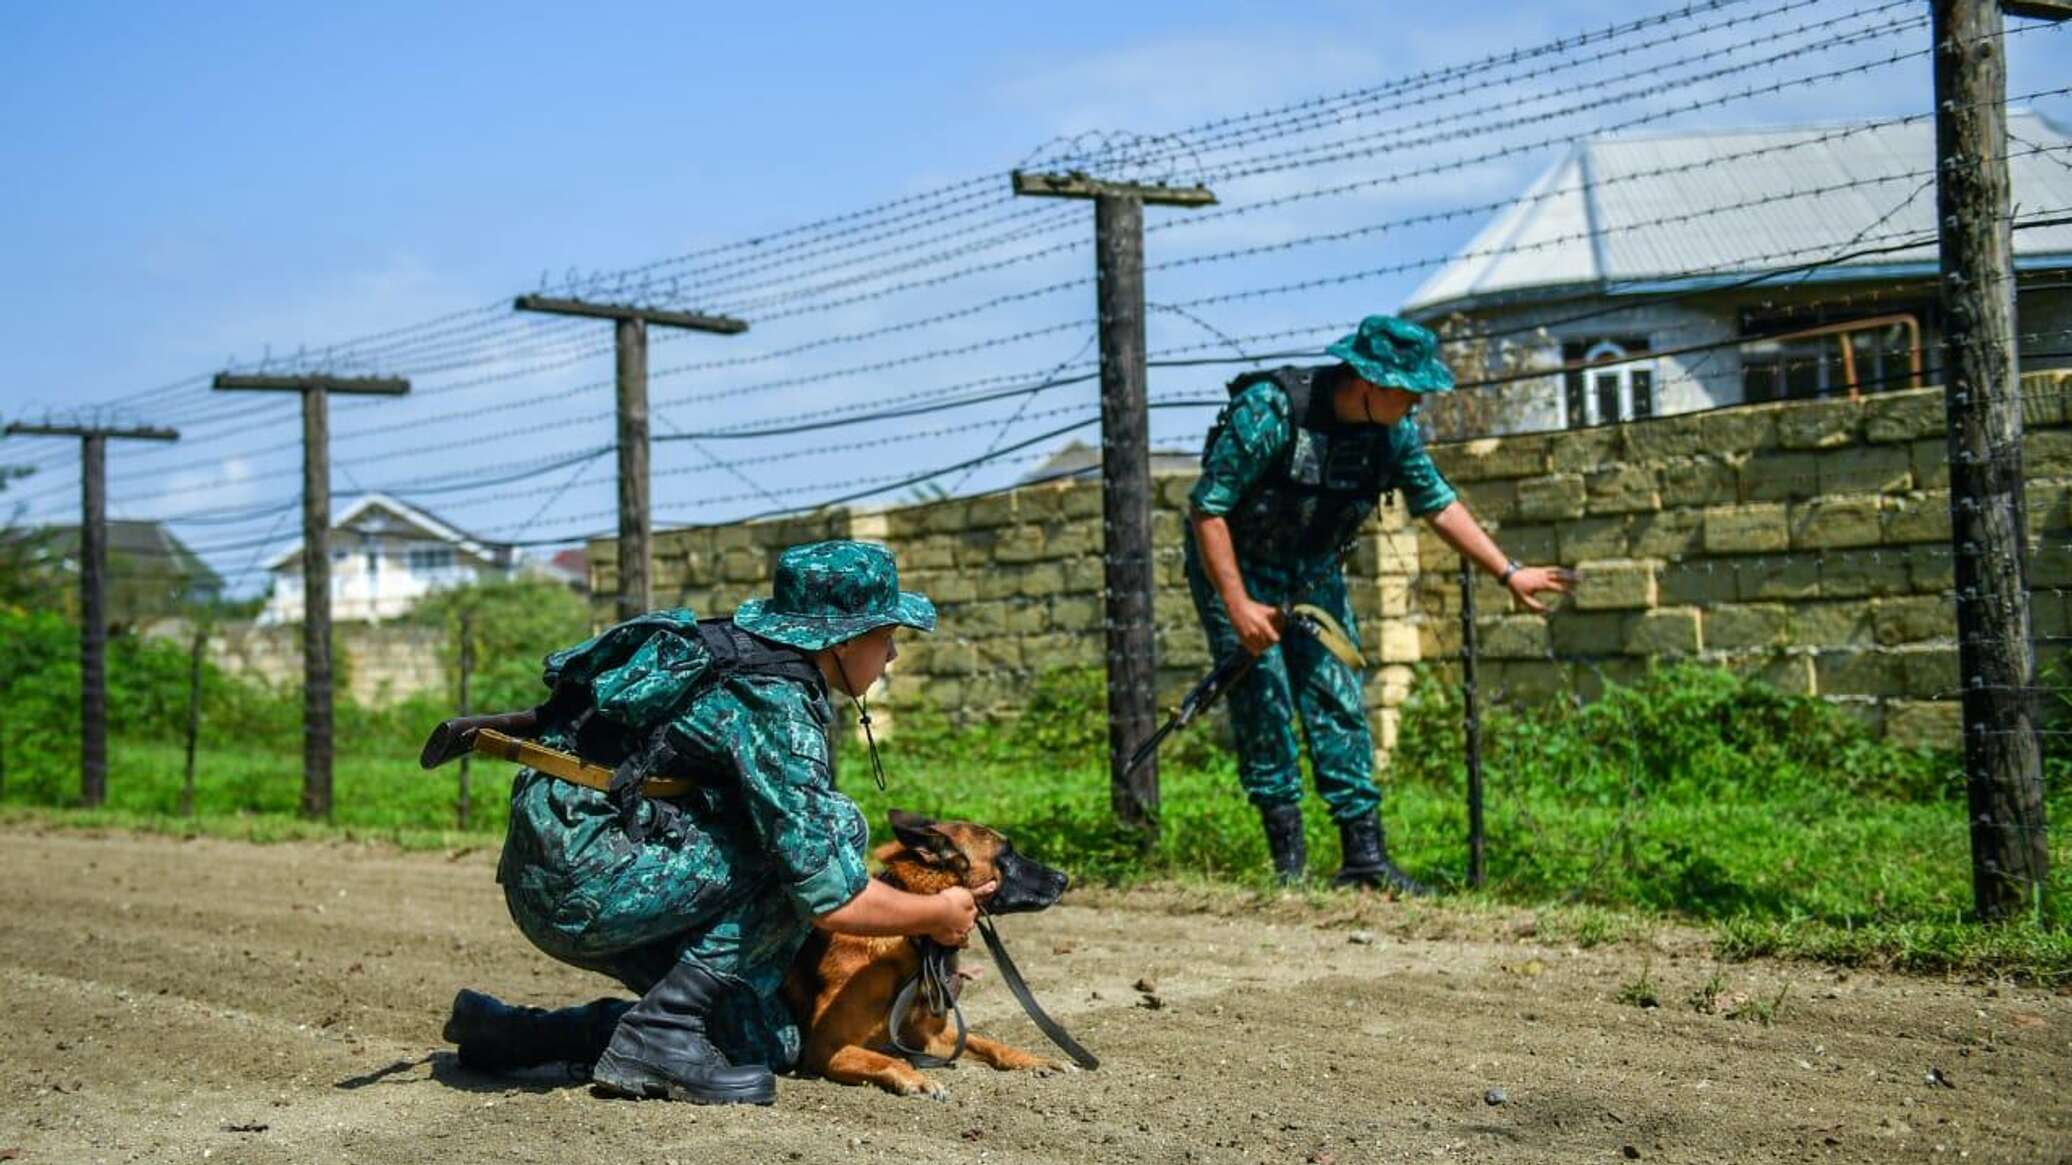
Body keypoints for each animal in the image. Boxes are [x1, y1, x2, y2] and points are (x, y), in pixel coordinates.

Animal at [783, 812, 1077, 1094]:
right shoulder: (827, 1047)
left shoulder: (928, 1037)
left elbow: (988, 1043)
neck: (911, 940)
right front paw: (916, 1078)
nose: (1064, 879)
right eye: (1005, 855)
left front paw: (1034, 1060)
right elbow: (883, 1060)